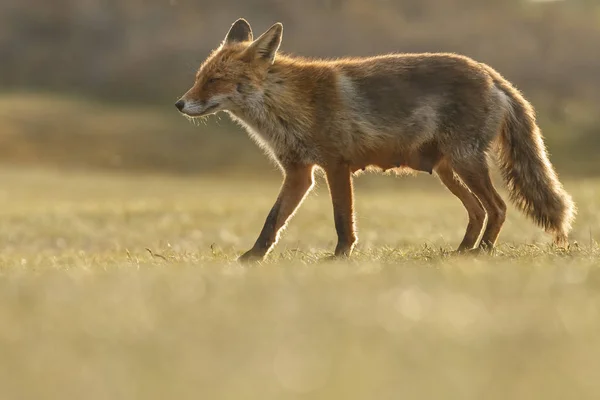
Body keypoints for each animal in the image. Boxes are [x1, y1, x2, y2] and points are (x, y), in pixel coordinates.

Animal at [176, 18, 576, 262]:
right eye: (199, 78)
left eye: (214, 81)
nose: (180, 104)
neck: (288, 106)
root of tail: (492, 74)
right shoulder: (299, 173)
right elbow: (272, 221)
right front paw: (252, 258)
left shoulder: (336, 165)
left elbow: (343, 220)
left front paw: (340, 258)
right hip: (449, 170)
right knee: (478, 211)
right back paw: (461, 252)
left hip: (466, 163)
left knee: (498, 208)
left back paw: (483, 253)